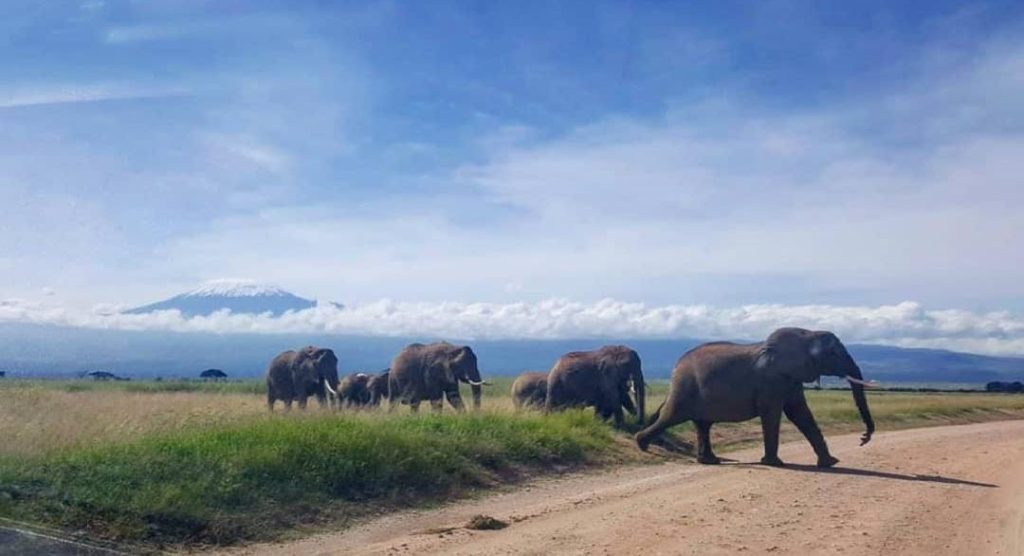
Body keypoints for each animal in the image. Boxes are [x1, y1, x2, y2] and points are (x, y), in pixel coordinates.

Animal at [634, 327, 876, 466]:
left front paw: (831, 463)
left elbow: (801, 414)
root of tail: (677, 363)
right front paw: (773, 463)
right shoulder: (772, 380)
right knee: (672, 416)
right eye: (833, 353)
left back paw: (709, 461)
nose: (863, 439)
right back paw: (641, 445)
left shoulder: (790, 379)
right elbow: (773, 414)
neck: (806, 334)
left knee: (703, 425)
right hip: (684, 387)